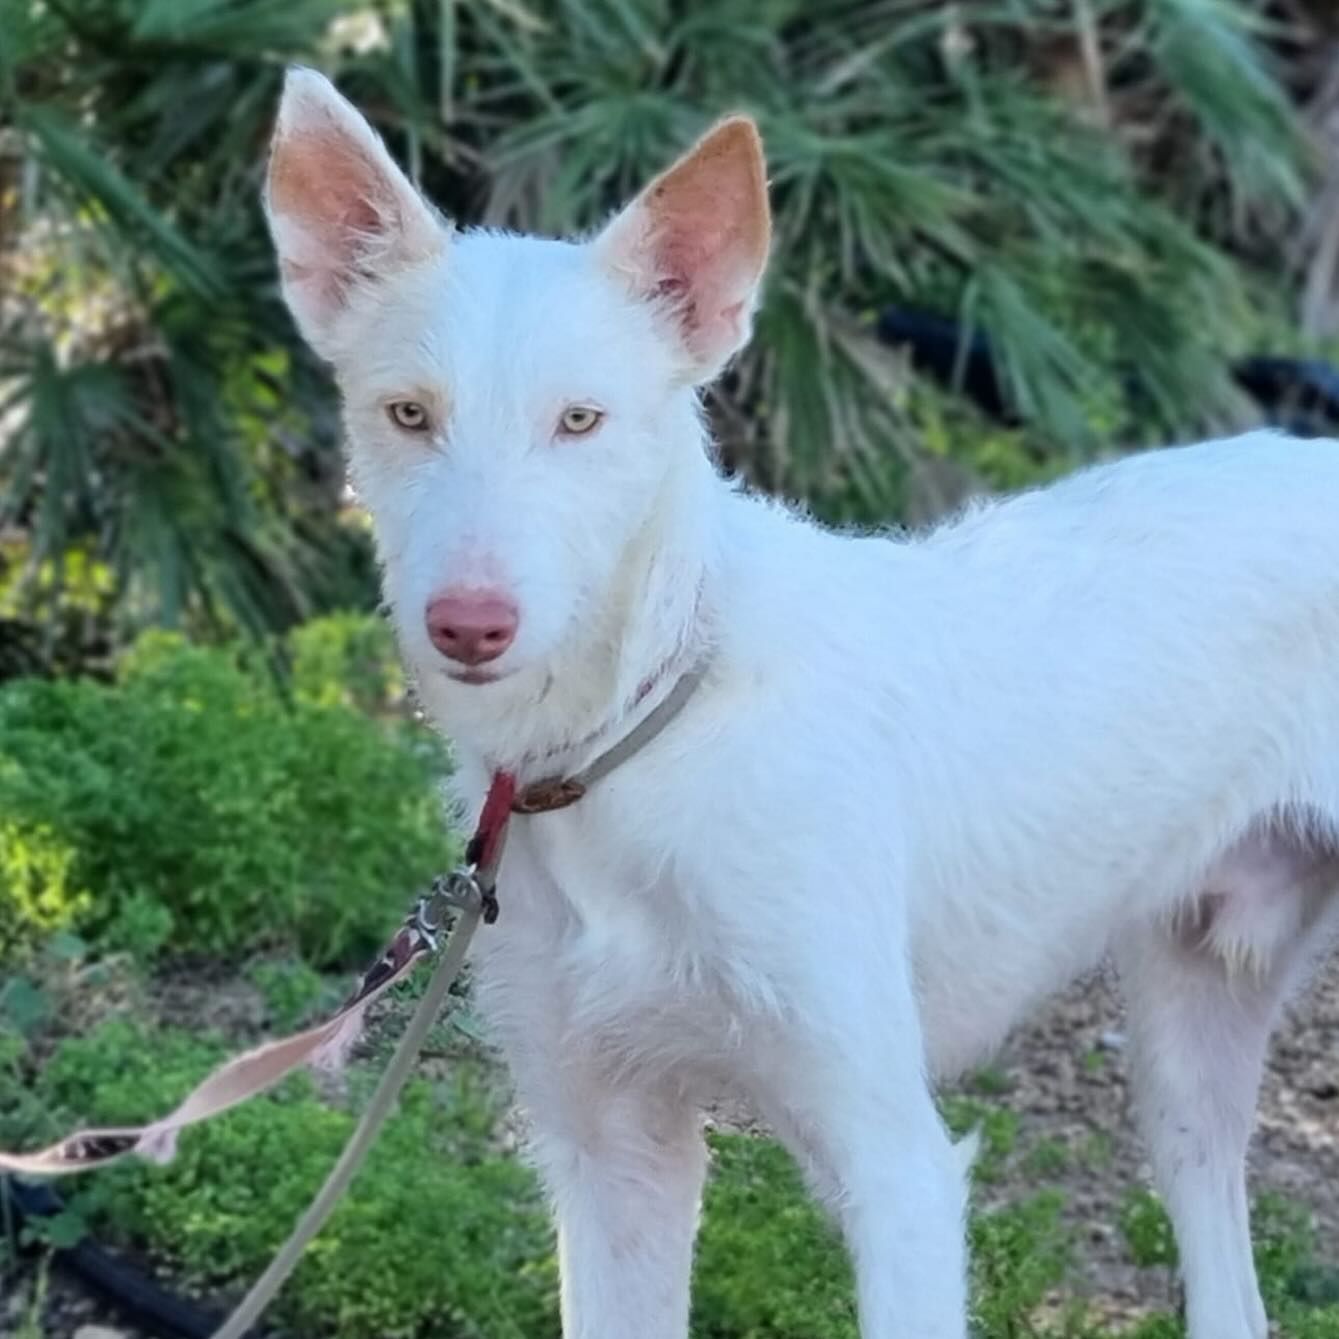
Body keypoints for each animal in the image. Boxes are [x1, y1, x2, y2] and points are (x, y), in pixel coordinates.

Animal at [264, 67, 1339, 1339]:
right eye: (407, 415)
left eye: (580, 420)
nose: (469, 625)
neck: (640, 737)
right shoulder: (611, 1153)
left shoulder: (896, 1167)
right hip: (1188, 1029)